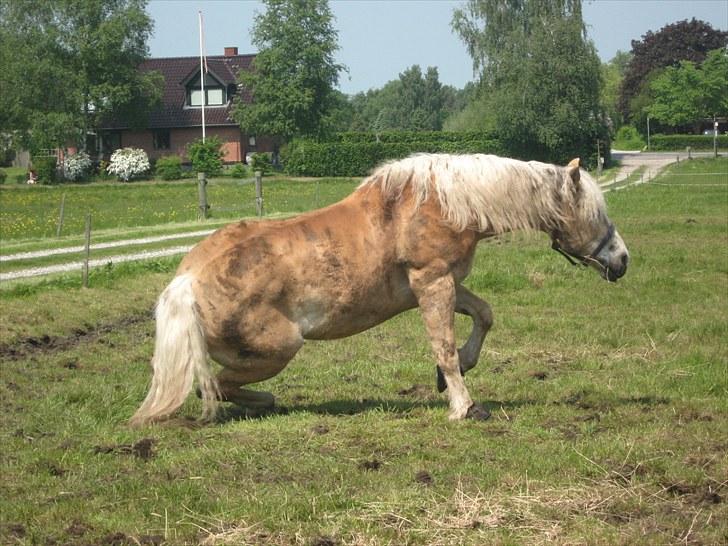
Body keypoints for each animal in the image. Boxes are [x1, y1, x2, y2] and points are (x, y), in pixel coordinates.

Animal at [129, 153, 624, 424]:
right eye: (595, 212)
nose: (622, 260)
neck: (443, 205)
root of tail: (185, 282)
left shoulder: (442, 283)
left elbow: (483, 316)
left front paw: (450, 378)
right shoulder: (433, 282)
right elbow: (444, 345)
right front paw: (464, 406)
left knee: (213, 386)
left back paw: (264, 403)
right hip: (279, 349)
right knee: (213, 385)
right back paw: (264, 402)